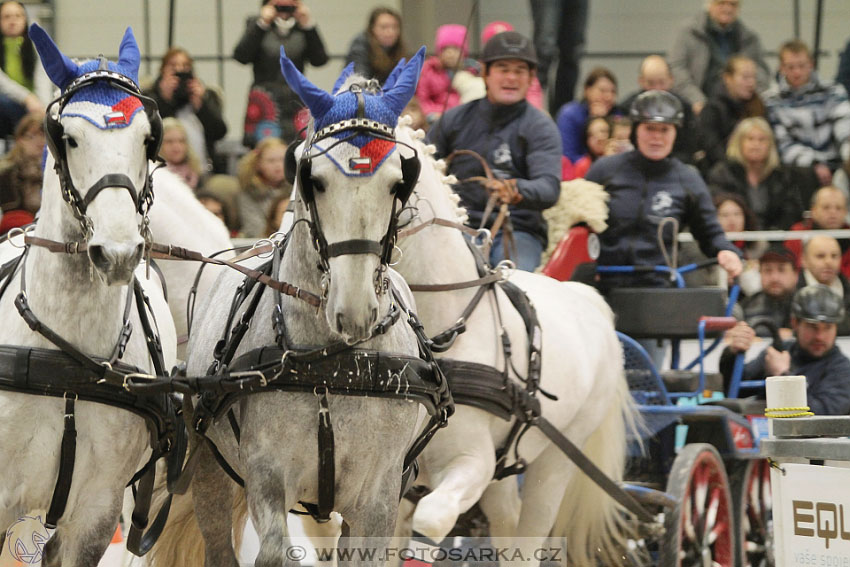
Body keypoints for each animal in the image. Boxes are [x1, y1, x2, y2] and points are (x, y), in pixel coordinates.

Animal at [150, 50, 448, 567]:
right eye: (316, 180)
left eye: (398, 183)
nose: (355, 309)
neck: (334, 363)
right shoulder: (267, 477)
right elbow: (272, 552)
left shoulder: (378, 496)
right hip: (212, 472)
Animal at [390, 118, 636, 564]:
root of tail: (587, 298)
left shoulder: (470, 464)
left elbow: (431, 521)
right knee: (507, 524)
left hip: (556, 460)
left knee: (531, 530)